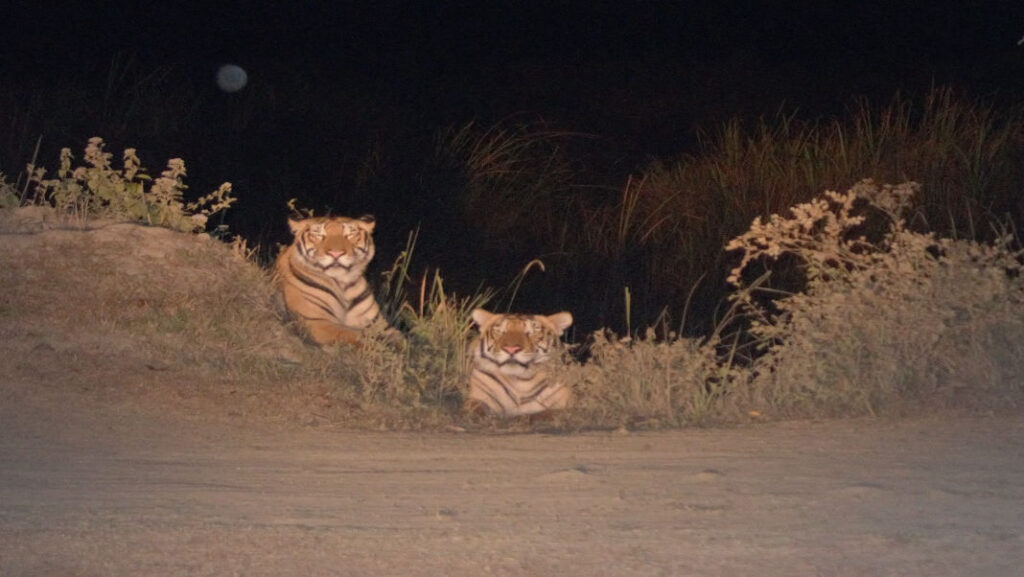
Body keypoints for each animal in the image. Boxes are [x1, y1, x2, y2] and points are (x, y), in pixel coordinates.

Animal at [274, 214, 395, 346]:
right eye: (318, 235)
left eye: (350, 234)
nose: (336, 253)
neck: (343, 286)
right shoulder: (316, 321)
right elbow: (353, 334)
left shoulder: (382, 326)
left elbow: (401, 341)